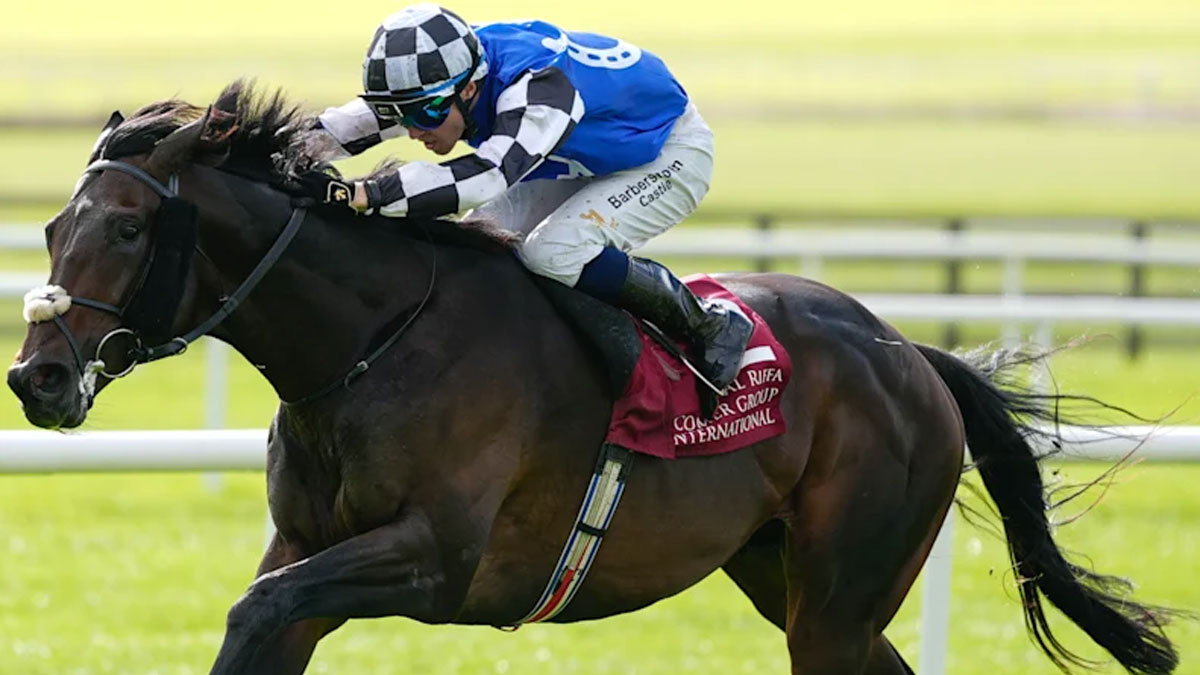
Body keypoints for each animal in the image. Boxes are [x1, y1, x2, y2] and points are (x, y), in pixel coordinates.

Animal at [6, 81, 1181, 674]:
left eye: (125, 227)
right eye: (55, 226)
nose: (37, 378)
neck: (369, 345)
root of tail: (912, 356)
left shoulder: (436, 561)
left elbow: (261, 609)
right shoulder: (304, 548)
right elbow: (259, 616)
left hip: (840, 595)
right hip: (784, 575)